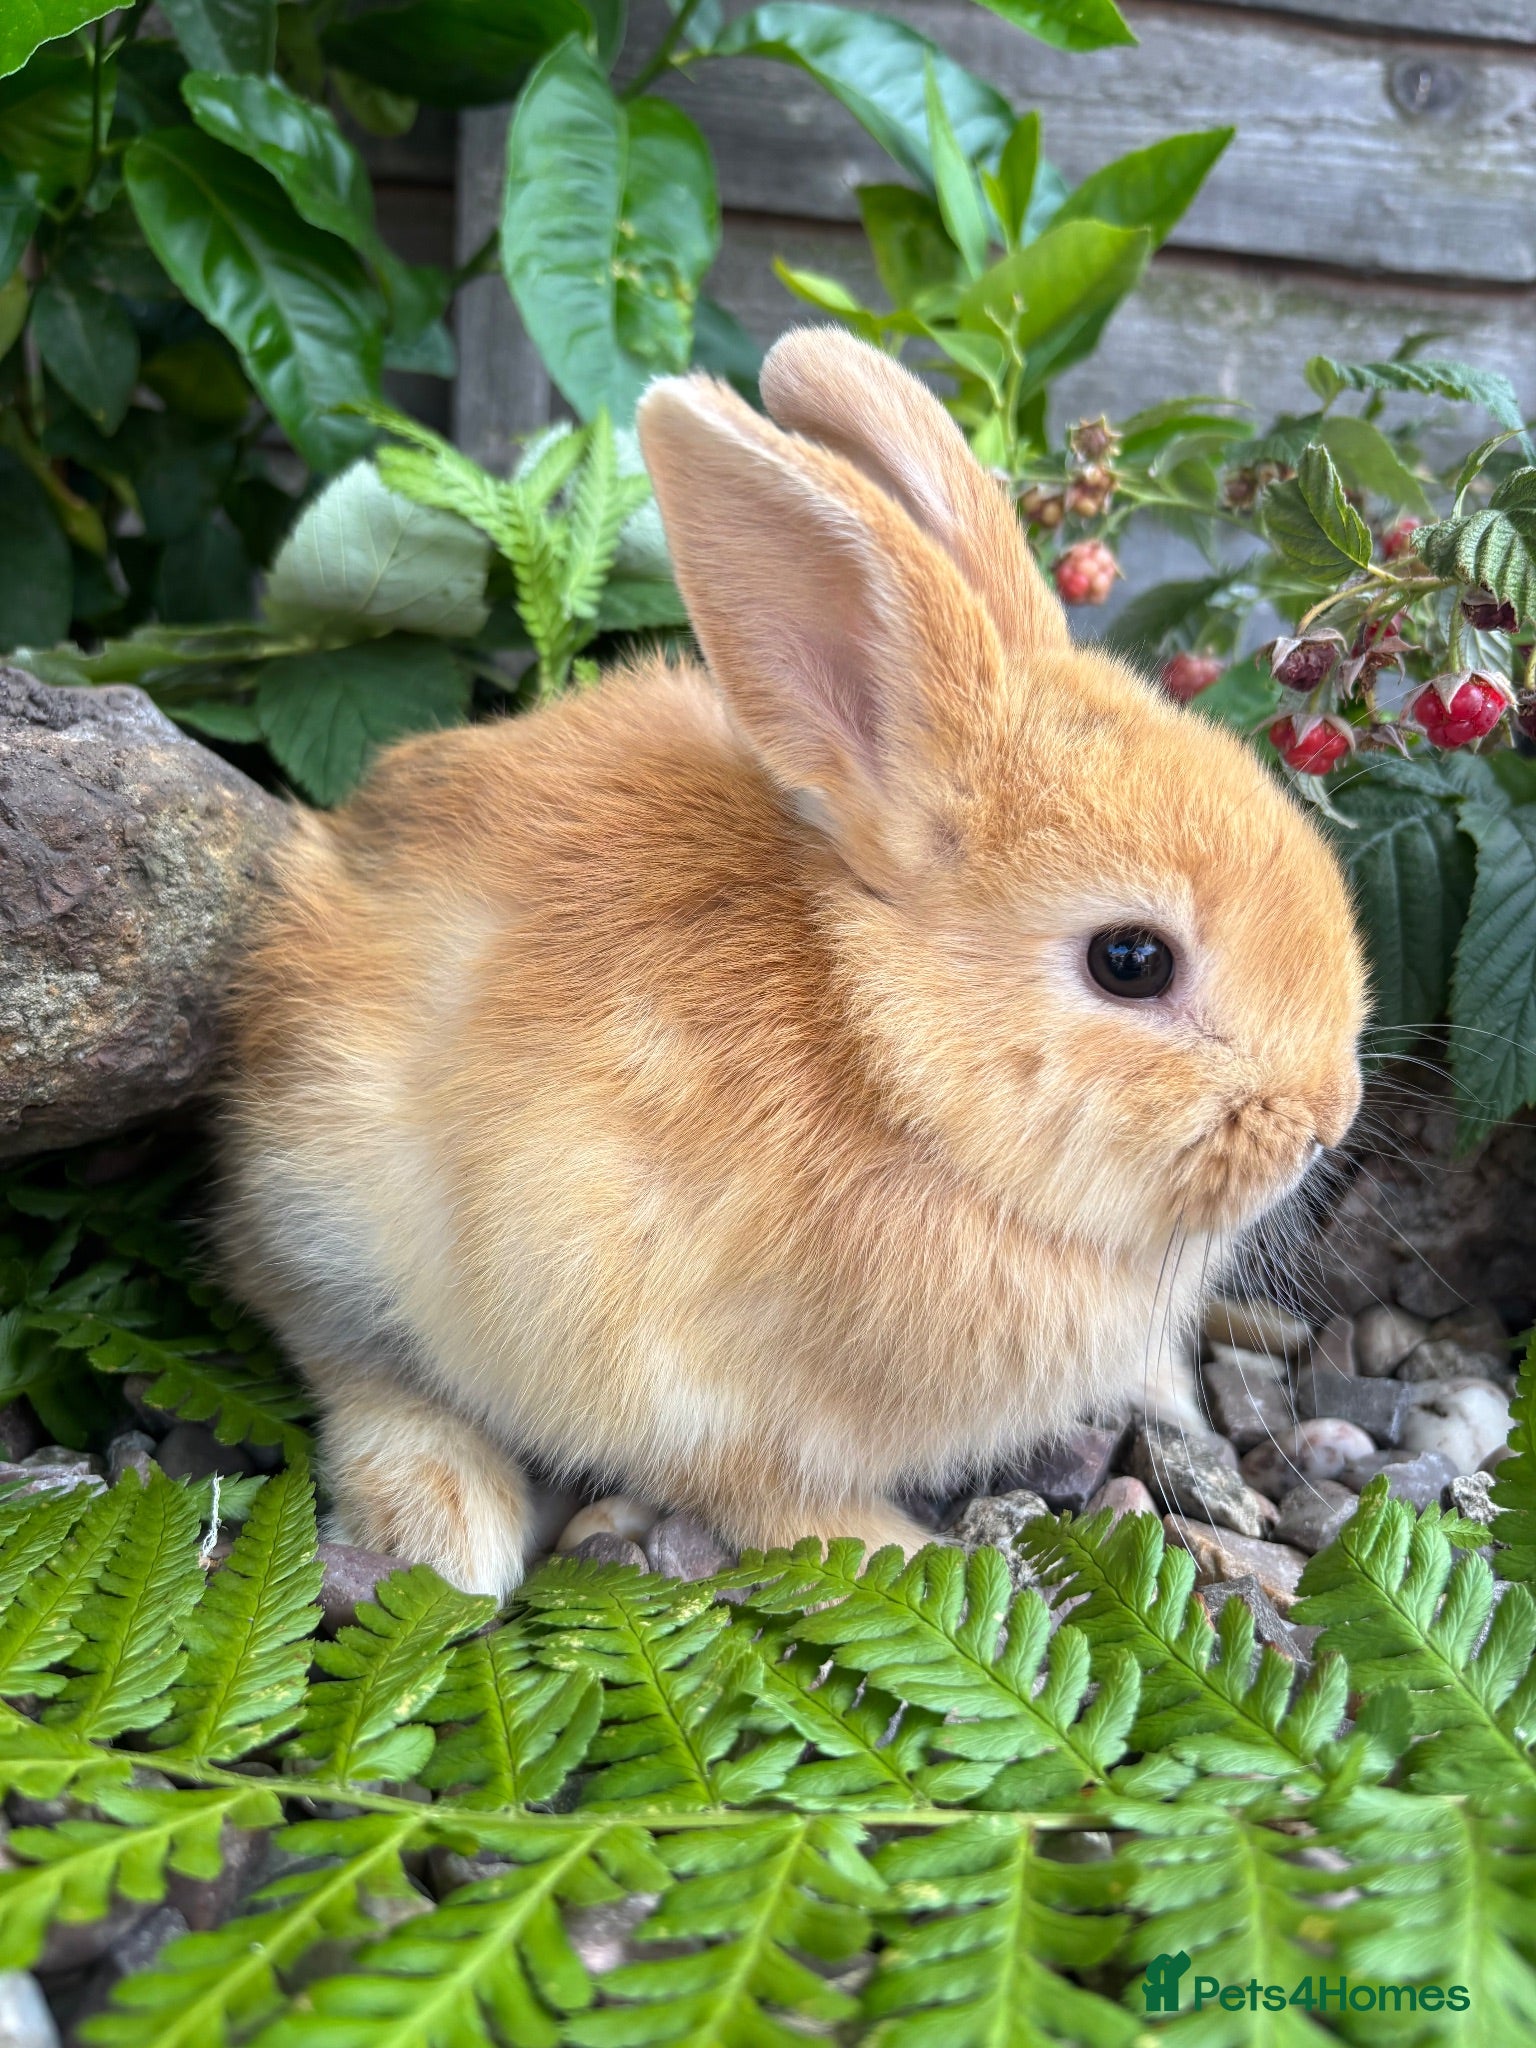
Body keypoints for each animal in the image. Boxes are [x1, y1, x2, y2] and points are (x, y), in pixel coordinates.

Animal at [214, 327, 1366, 1596]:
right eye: (1130, 959)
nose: (1329, 1118)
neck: (889, 1063)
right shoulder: (666, 1360)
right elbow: (760, 1493)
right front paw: (905, 1551)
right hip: (337, 1197)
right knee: (339, 1348)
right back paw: (448, 1519)